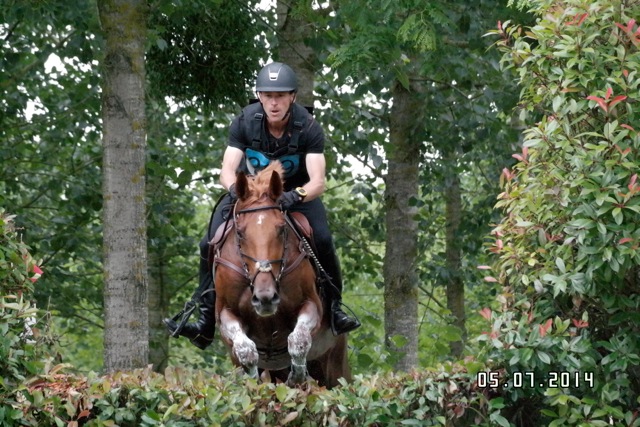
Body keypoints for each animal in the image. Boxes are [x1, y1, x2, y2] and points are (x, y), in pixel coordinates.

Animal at [210, 162, 350, 390]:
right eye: (240, 233)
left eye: (281, 229)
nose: (265, 298)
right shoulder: (225, 312)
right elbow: (246, 350)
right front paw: (254, 383)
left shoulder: (311, 303)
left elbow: (299, 340)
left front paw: (298, 377)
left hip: (335, 367)